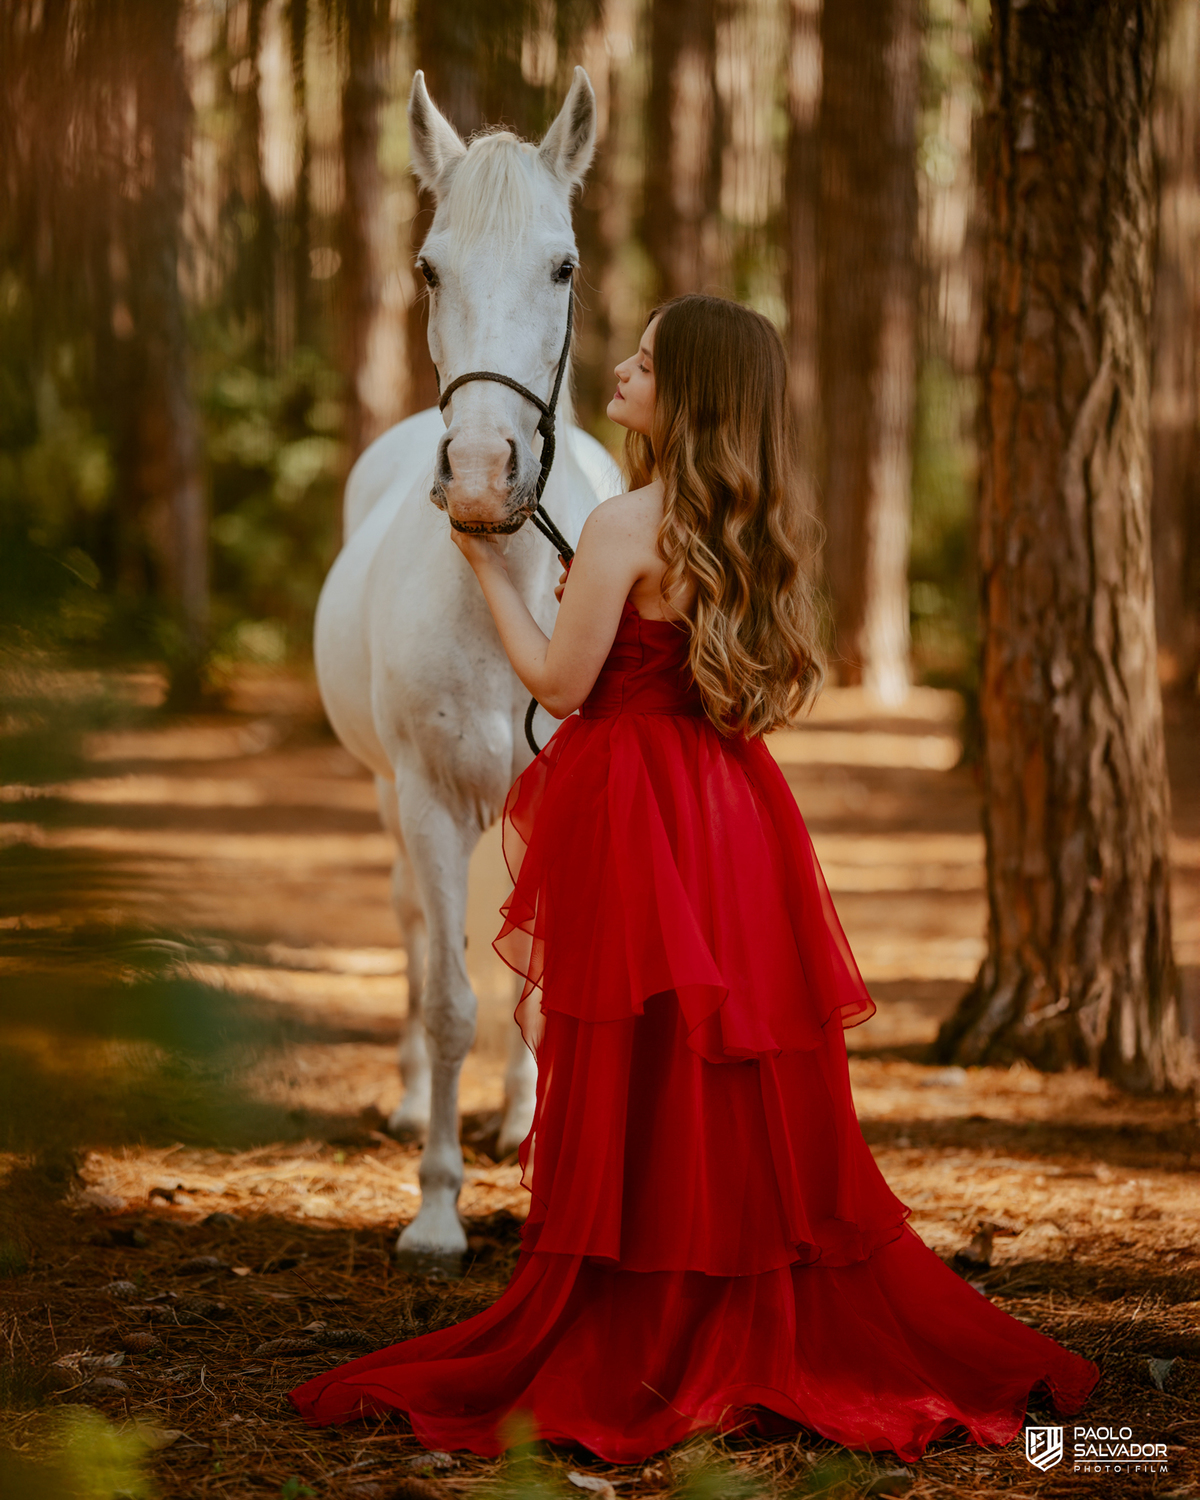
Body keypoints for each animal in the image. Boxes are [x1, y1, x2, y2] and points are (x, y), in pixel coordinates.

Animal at [314, 67, 620, 1267]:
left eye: (564, 265)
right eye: (429, 266)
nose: (487, 471)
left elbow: (543, 990)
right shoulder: (433, 800)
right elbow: (448, 1000)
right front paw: (438, 1210)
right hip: (388, 798)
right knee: (410, 926)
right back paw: (414, 1105)